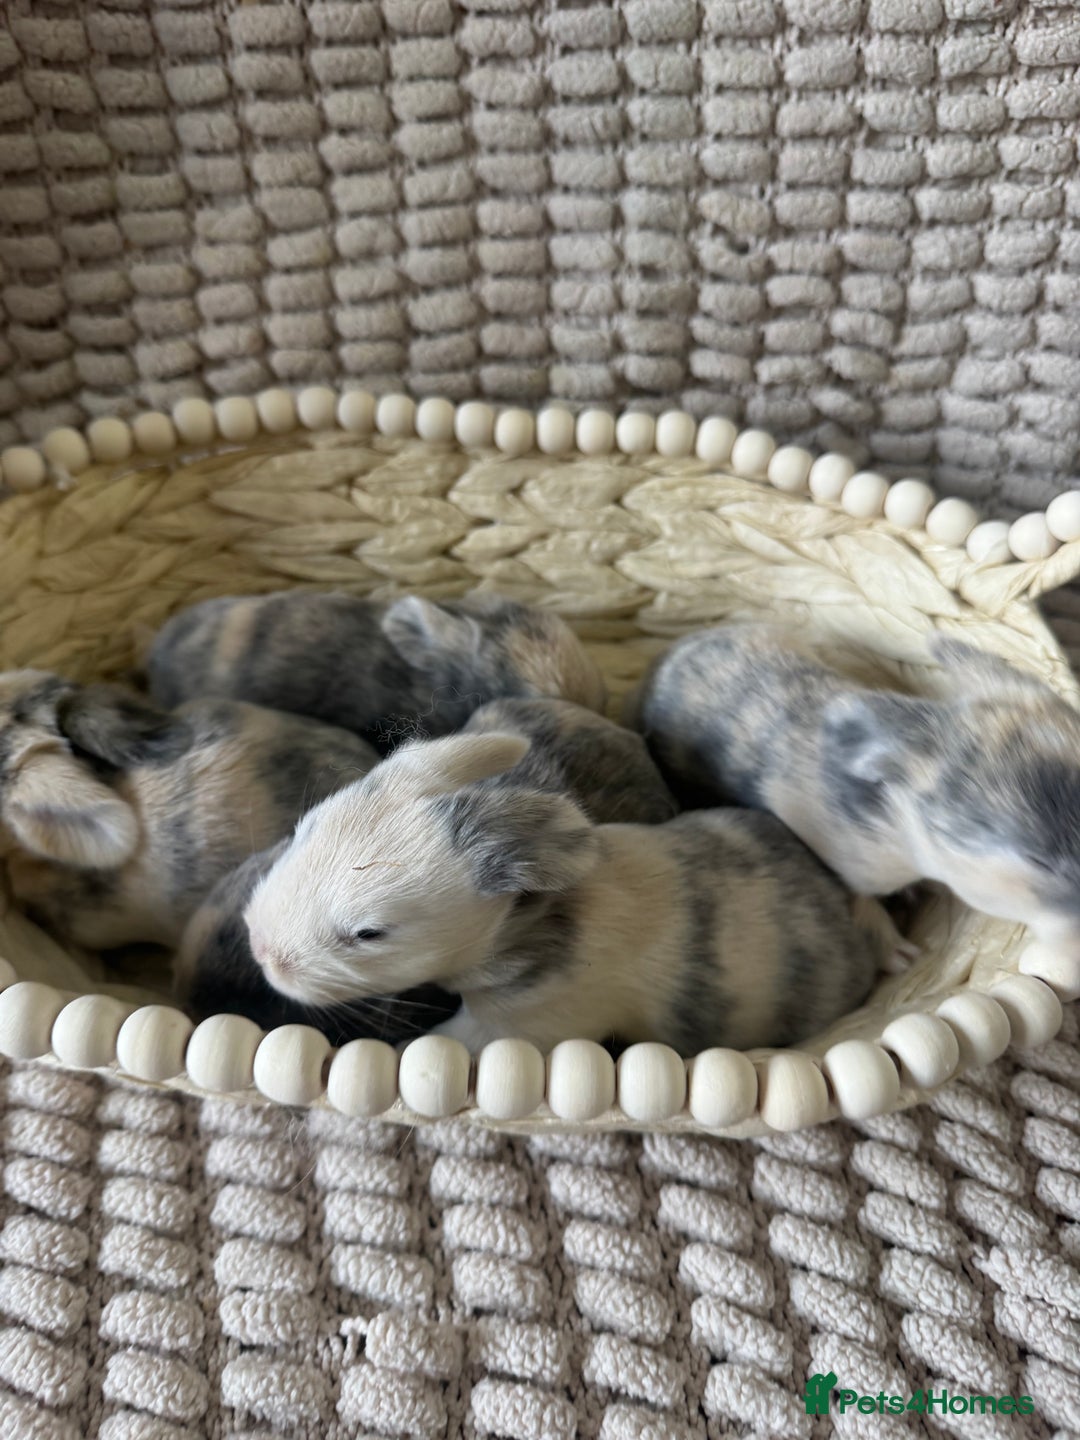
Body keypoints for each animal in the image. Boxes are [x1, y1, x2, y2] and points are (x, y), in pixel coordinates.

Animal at [628, 624, 1080, 952]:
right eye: (1037, 860)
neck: (900, 820)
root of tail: (666, 657)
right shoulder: (853, 872)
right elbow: (864, 905)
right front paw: (903, 955)